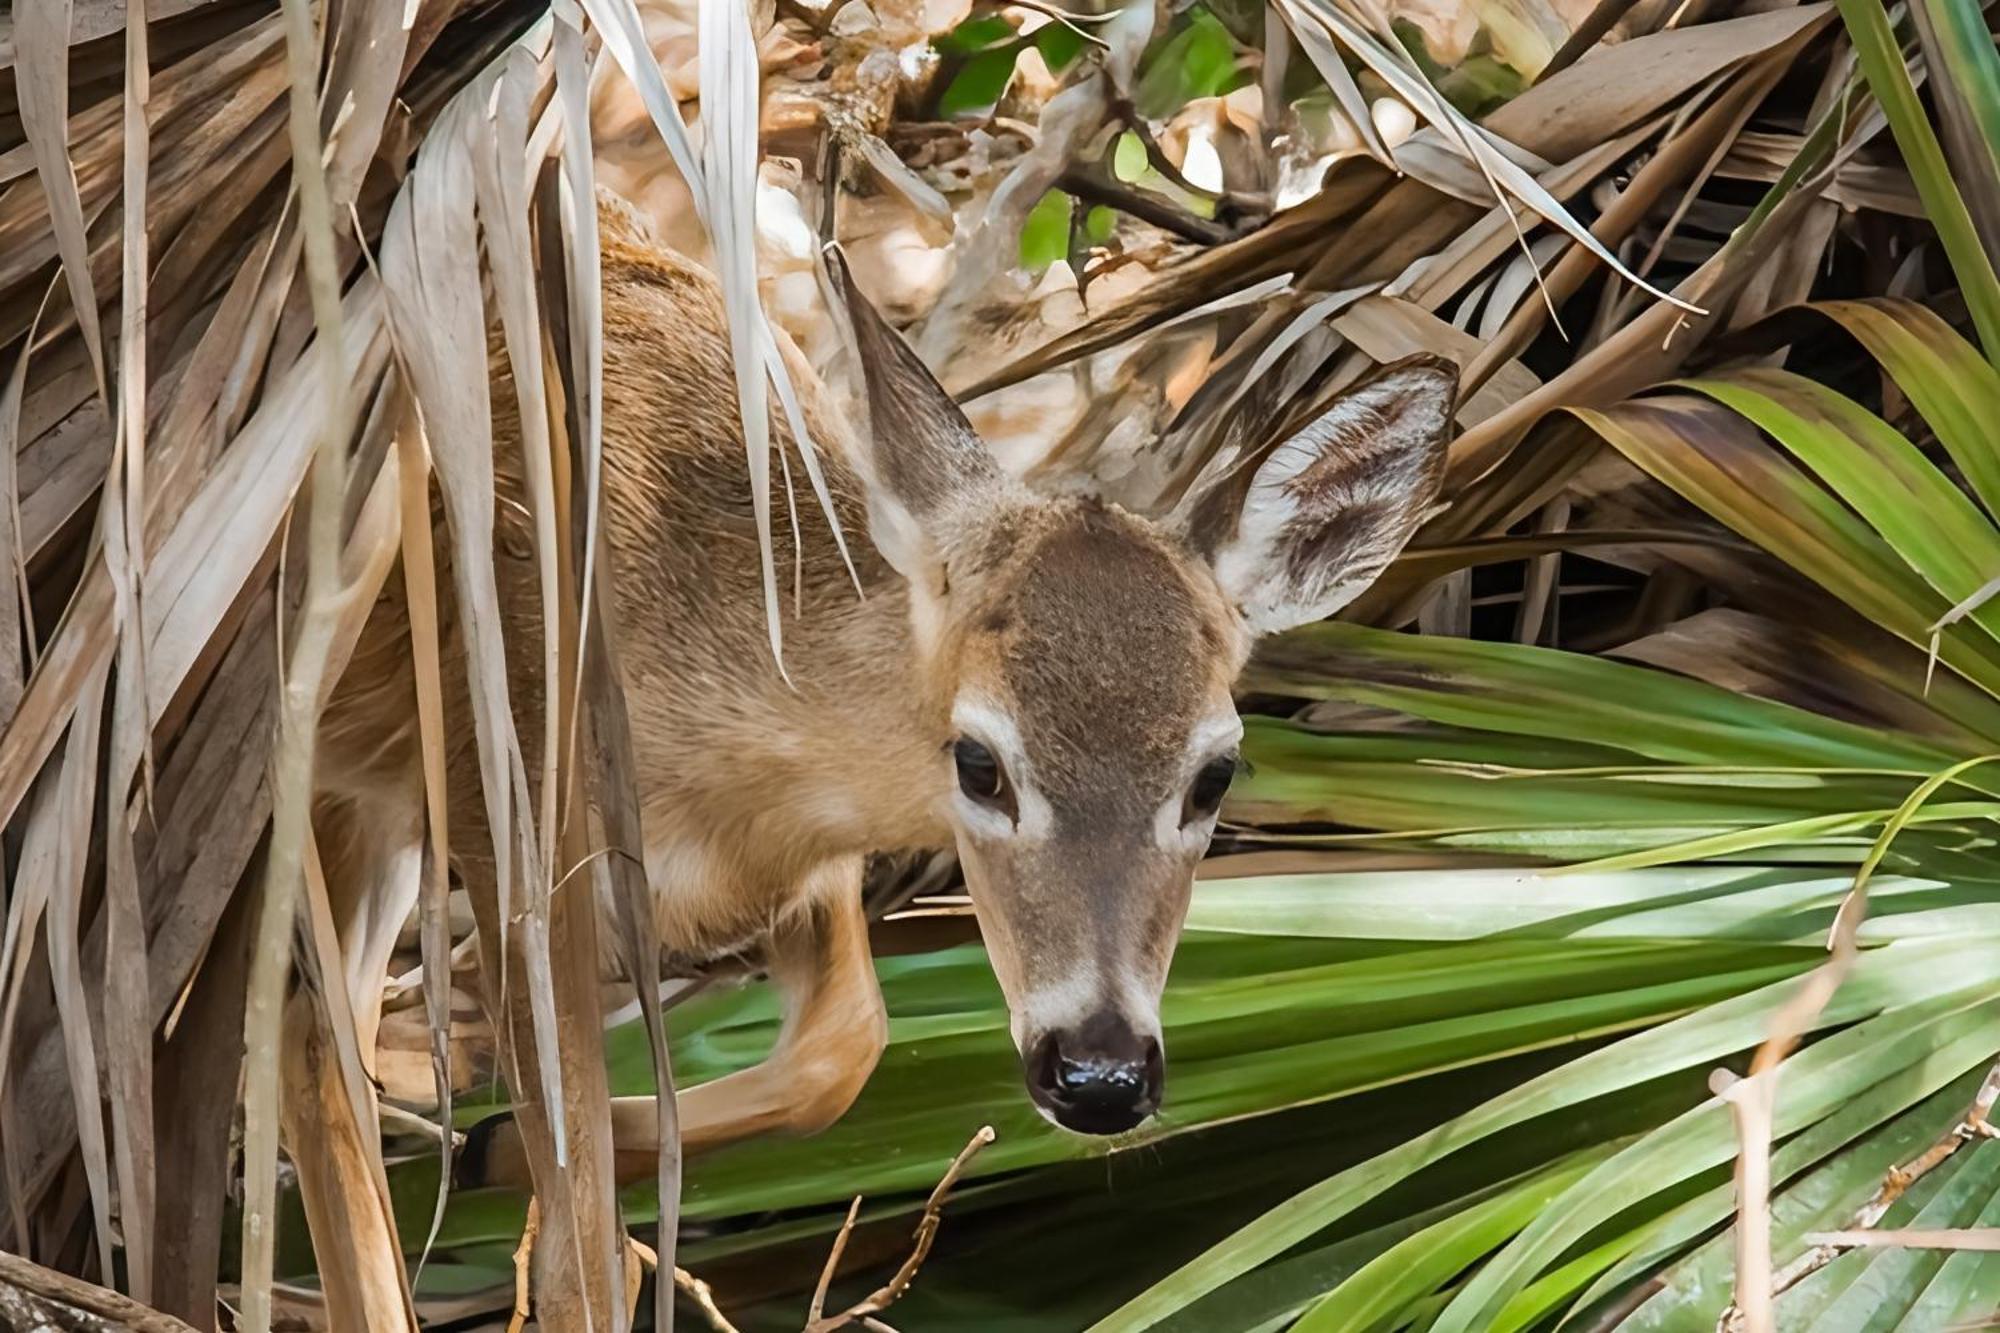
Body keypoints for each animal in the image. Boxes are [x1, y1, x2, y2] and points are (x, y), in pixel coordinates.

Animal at [312, 192, 1464, 1200]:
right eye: (978, 762)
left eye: (1215, 772)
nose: (1099, 1074)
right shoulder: (495, 796)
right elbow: (560, 1136)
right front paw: (501, 1155)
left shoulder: (805, 863)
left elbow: (847, 1047)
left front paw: (487, 1148)